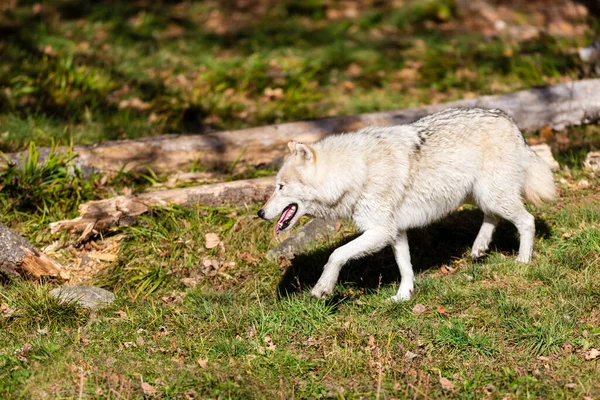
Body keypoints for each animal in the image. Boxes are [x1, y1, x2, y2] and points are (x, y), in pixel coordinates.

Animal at [258, 108, 556, 302]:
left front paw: (323, 288)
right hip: (479, 194)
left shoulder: (380, 231)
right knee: (491, 216)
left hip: (493, 194)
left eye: (280, 187)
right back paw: (479, 248)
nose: (260, 213)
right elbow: (405, 265)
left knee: (526, 221)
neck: (355, 172)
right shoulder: (395, 232)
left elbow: (336, 254)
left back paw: (523, 260)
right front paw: (404, 296)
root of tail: (510, 121)